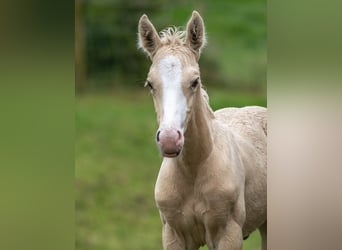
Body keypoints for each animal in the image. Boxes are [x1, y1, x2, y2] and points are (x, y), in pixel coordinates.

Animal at [138, 10, 266, 249]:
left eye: (195, 81)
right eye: (150, 84)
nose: (169, 140)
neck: (194, 169)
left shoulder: (228, 234)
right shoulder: (174, 235)